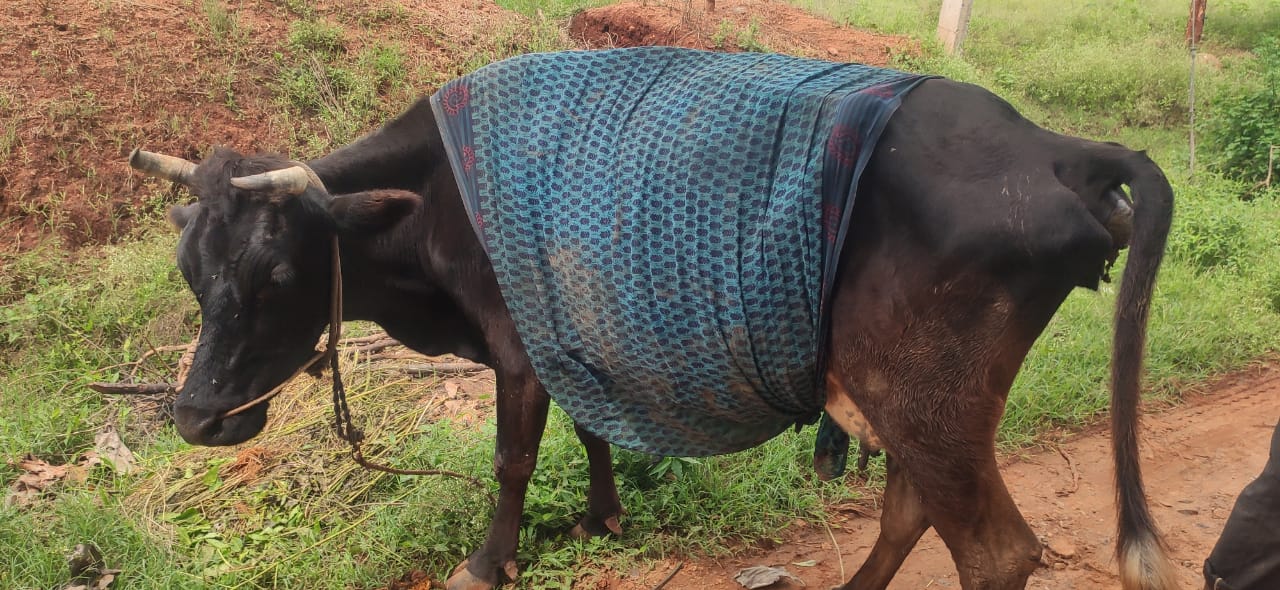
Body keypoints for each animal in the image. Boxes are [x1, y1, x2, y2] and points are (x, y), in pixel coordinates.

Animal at [129, 47, 1177, 588]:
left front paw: (487, 563)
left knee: (994, 550)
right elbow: (593, 426)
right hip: (914, 395)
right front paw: (605, 515)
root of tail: (1055, 148)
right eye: (191, 272)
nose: (196, 417)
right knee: (912, 508)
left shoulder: (517, 344)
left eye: (275, 272)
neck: (429, 203)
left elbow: (512, 461)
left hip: (922, 393)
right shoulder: (568, 326)